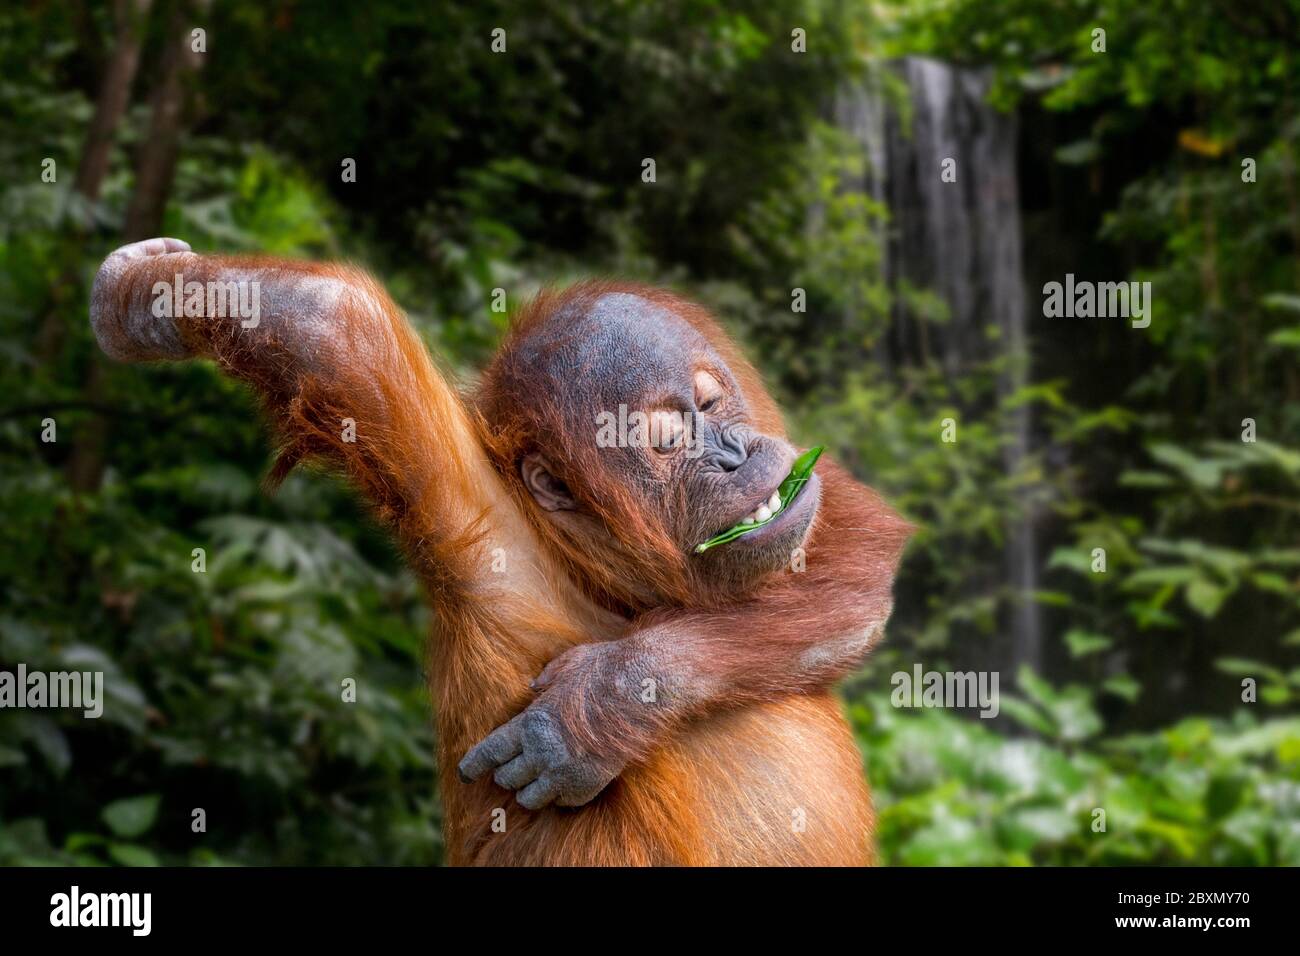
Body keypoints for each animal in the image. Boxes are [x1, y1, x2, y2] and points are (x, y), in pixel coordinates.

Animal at [91, 237, 912, 865]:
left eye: (713, 402)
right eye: (668, 439)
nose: (738, 454)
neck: (618, 593)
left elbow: (853, 539)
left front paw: (594, 706)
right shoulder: (489, 550)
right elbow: (344, 338)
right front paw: (143, 300)